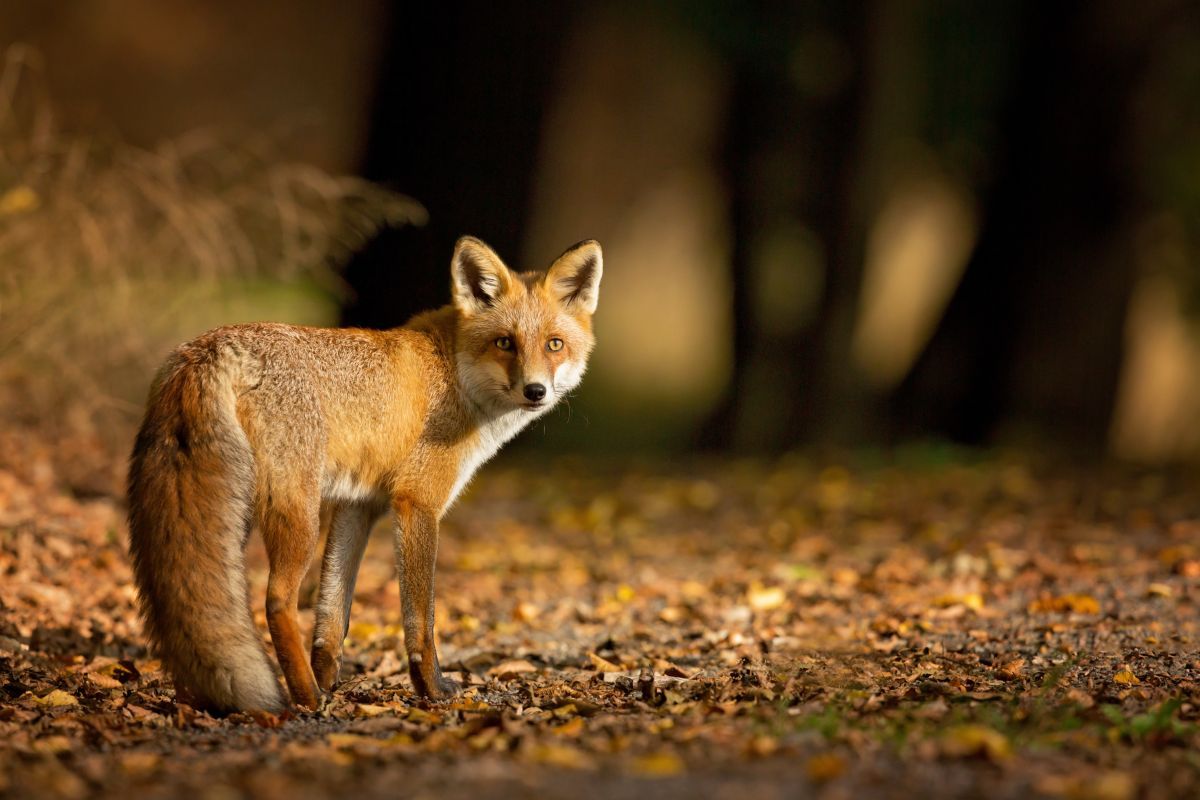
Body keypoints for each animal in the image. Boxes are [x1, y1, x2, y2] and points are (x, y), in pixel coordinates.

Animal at [127, 236, 602, 714]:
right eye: (505, 342)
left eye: (554, 344)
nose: (536, 391)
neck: (454, 374)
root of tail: (209, 347)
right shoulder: (416, 501)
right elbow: (420, 617)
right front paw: (431, 688)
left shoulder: (358, 504)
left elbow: (333, 614)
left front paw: (329, 677)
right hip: (296, 514)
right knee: (276, 601)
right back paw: (306, 698)